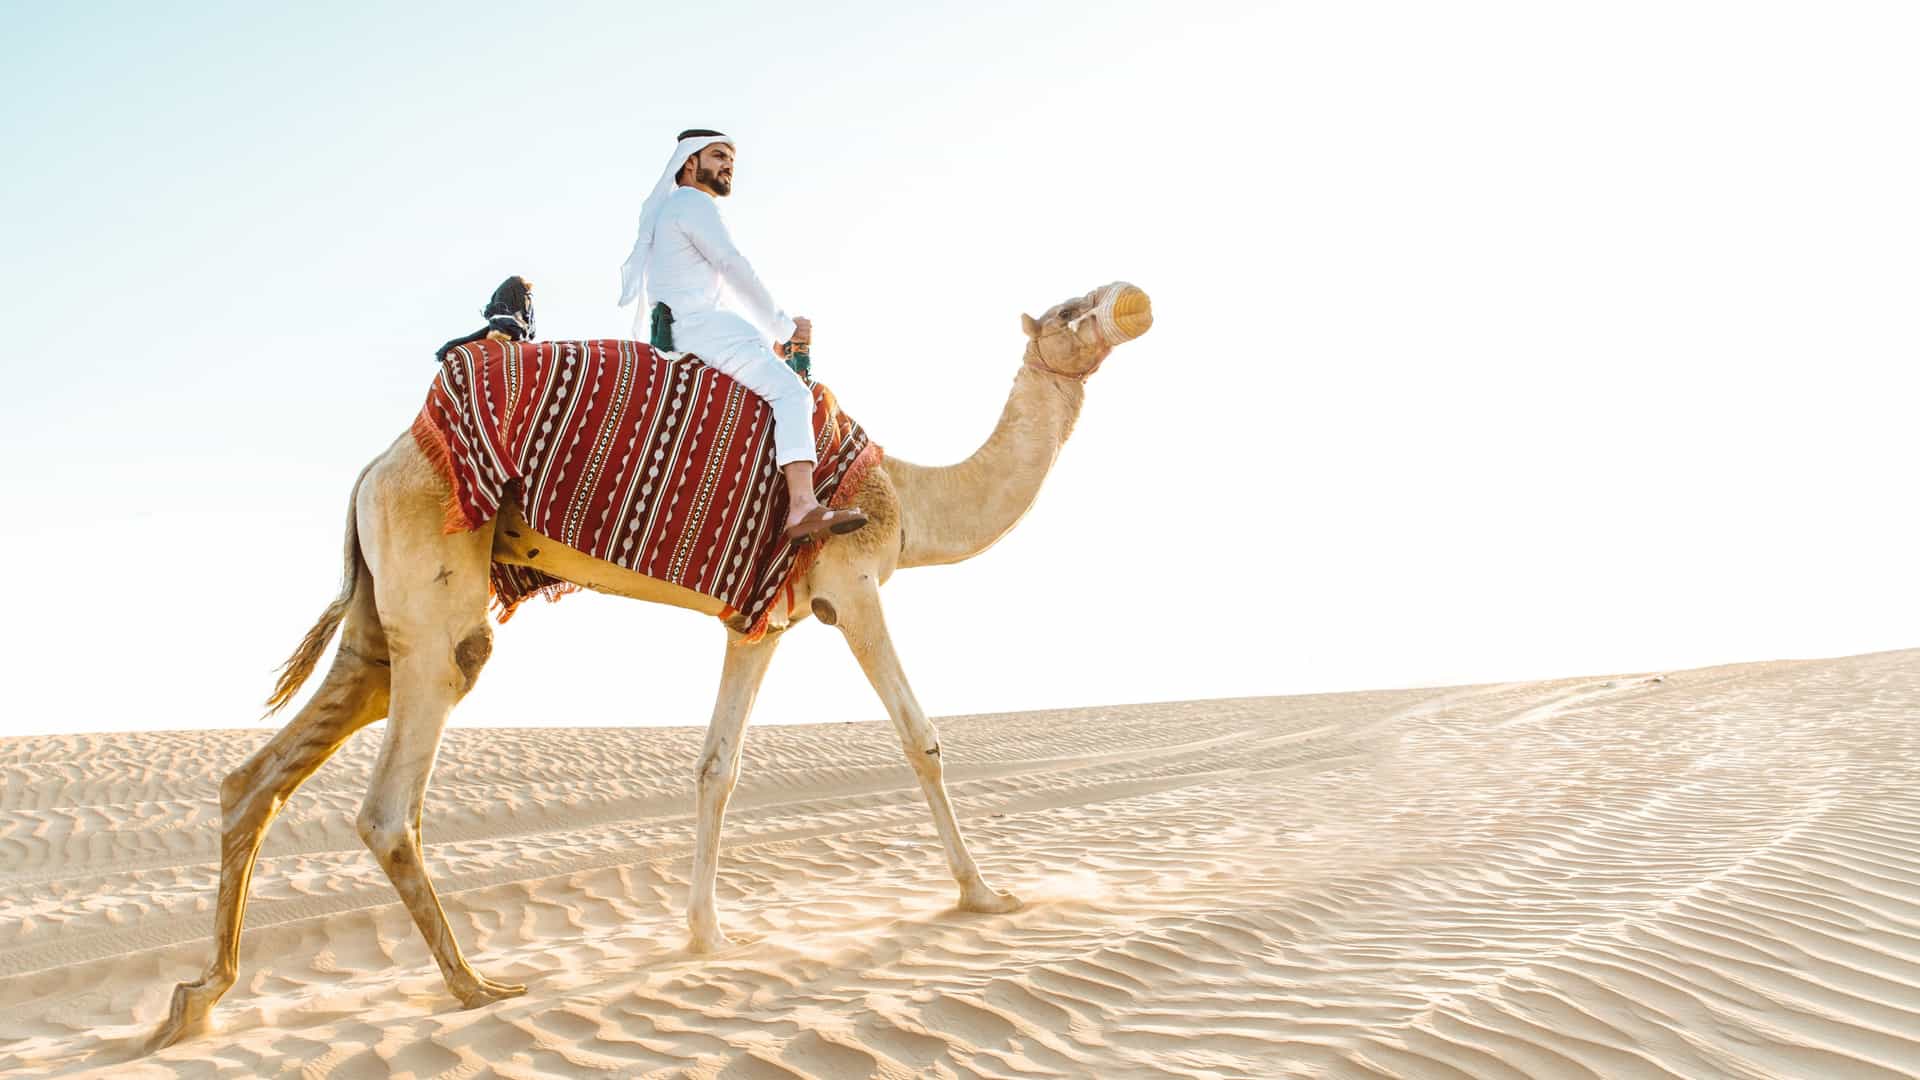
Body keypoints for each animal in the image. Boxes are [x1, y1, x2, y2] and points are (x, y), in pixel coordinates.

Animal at [147, 281, 1152, 1050]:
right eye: (1070, 309)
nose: (1129, 299)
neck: (907, 495)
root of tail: (373, 465)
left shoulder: (759, 623)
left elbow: (717, 767)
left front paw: (706, 935)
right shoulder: (853, 584)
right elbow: (921, 737)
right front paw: (985, 895)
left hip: (377, 618)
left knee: (261, 774)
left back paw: (197, 1000)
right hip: (435, 589)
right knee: (393, 796)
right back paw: (475, 985)